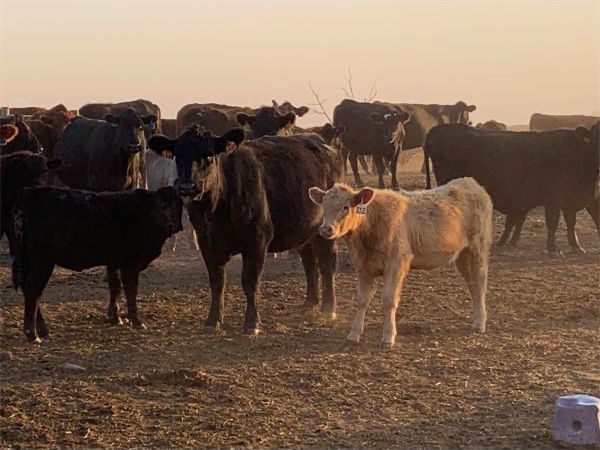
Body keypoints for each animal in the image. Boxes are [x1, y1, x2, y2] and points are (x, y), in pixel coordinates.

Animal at [11, 186, 183, 342]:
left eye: (178, 205)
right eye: (162, 205)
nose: (175, 225)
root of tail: (32, 193)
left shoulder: (114, 262)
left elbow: (115, 287)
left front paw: (115, 317)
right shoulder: (130, 264)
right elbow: (131, 291)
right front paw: (136, 321)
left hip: (28, 260)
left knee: (28, 288)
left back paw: (42, 329)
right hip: (42, 261)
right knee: (33, 289)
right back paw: (33, 334)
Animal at [148, 127, 342, 334]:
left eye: (208, 154)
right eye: (178, 155)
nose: (186, 187)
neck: (216, 208)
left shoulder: (257, 242)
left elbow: (250, 283)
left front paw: (251, 323)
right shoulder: (206, 243)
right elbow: (217, 282)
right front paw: (213, 320)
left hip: (325, 229)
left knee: (327, 262)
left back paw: (328, 308)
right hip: (304, 229)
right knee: (309, 261)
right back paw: (309, 303)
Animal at [309, 177, 492, 348]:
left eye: (346, 207)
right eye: (324, 205)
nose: (325, 229)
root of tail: (471, 183)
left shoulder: (396, 262)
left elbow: (389, 298)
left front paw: (388, 337)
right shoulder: (362, 265)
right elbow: (361, 299)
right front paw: (354, 334)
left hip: (478, 247)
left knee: (480, 282)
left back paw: (480, 323)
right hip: (463, 255)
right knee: (472, 284)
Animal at [424, 123, 599, 256]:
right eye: (596, 137)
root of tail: (437, 129)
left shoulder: (574, 199)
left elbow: (571, 222)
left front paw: (576, 247)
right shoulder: (554, 198)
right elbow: (553, 222)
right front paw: (553, 249)